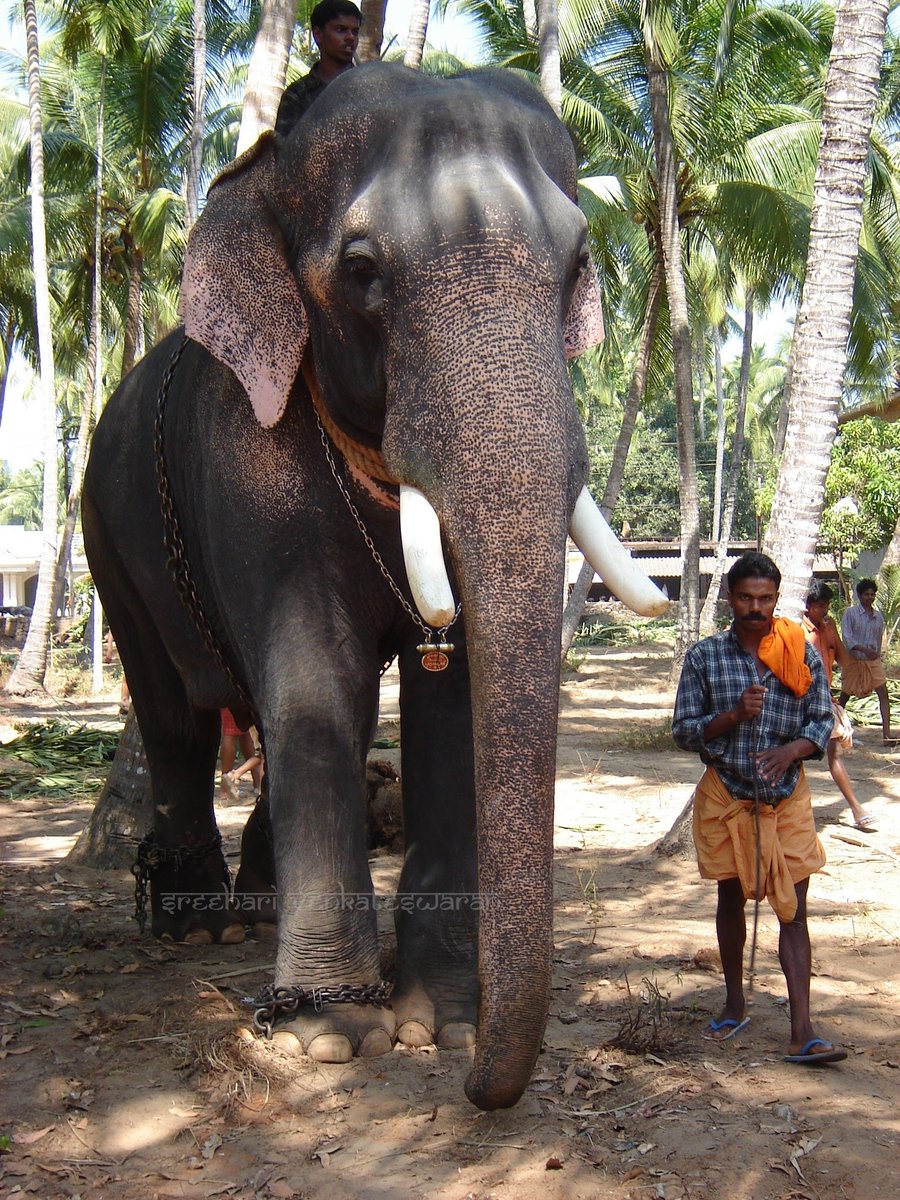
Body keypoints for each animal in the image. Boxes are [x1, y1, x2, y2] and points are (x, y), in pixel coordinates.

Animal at [82, 62, 666, 1111]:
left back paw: (252, 912)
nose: (477, 1092)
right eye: (361, 269)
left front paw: (443, 1023)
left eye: (576, 263)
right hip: (107, 531)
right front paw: (330, 1036)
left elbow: (451, 697)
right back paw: (199, 925)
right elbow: (323, 677)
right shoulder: (248, 459)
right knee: (176, 711)